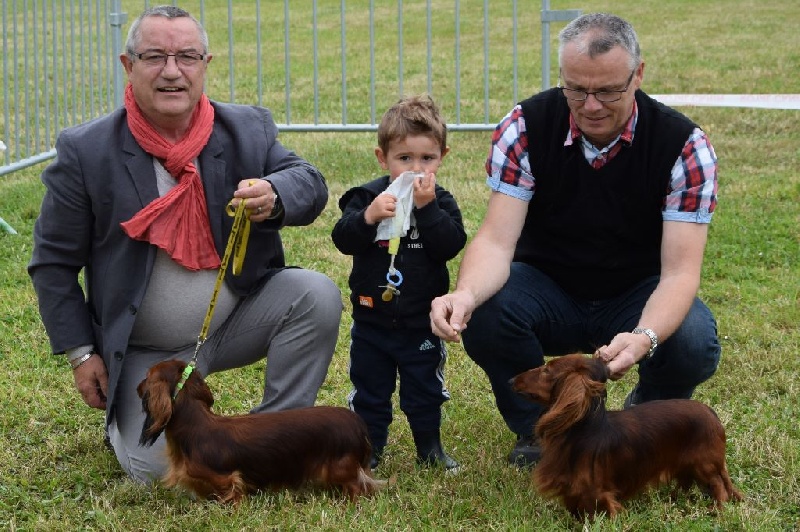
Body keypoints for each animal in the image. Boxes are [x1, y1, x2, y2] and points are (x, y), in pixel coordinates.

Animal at [137, 359, 387, 504]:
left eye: (146, 375)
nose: (136, 386)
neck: (195, 424)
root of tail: (358, 423)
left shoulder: (226, 478)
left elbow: (231, 492)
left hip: (339, 467)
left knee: (358, 485)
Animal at [510, 354, 742, 518]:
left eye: (546, 370)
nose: (511, 379)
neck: (583, 429)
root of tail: (712, 414)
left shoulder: (596, 491)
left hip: (704, 464)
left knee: (718, 485)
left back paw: (717, 510)